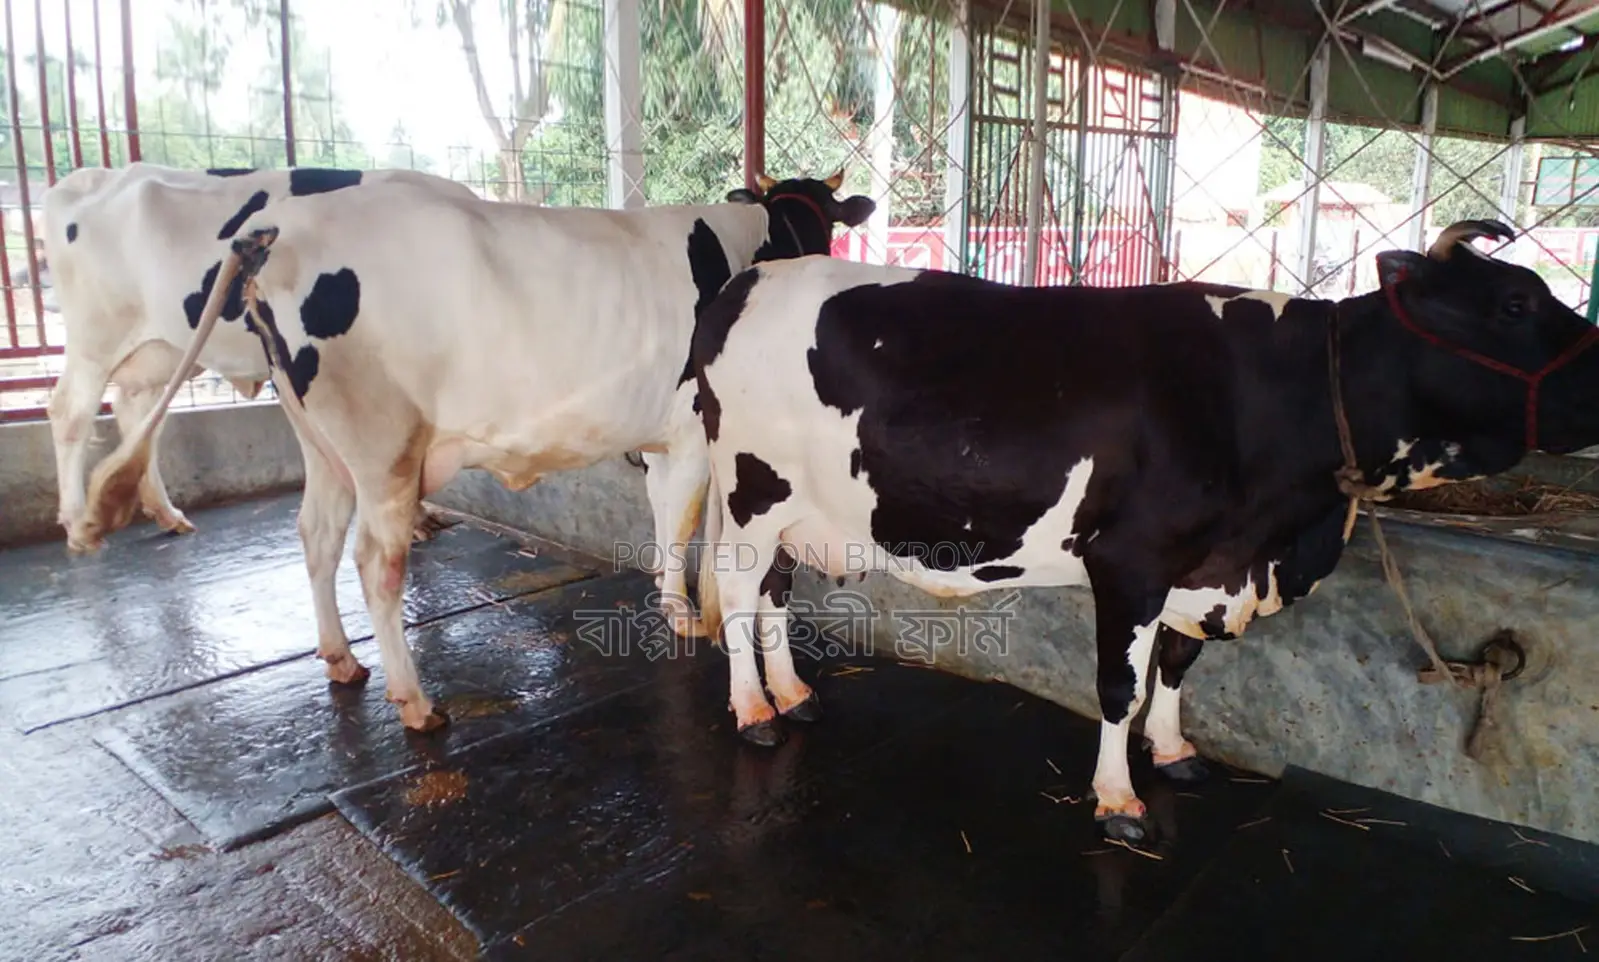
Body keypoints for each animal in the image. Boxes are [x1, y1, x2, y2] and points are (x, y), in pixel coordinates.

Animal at [42, 161, 476, 550]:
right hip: (95, 337)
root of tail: (90, 178)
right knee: (70, 413)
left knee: (139, 413)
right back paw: (78, 525)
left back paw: (166, 514)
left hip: (161, 347)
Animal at [689, 219, 1599, 843]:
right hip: (751, 492)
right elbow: (1119, 686)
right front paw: (1117, 799)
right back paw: (754, 710)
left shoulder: (1206, 565)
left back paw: (795, 694)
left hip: (797, 512)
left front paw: (1171, 753)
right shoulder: (1131, 562)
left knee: (773, 593)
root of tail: (748, 280)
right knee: (736, 593)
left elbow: (1178, 664)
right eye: (1514, 302)